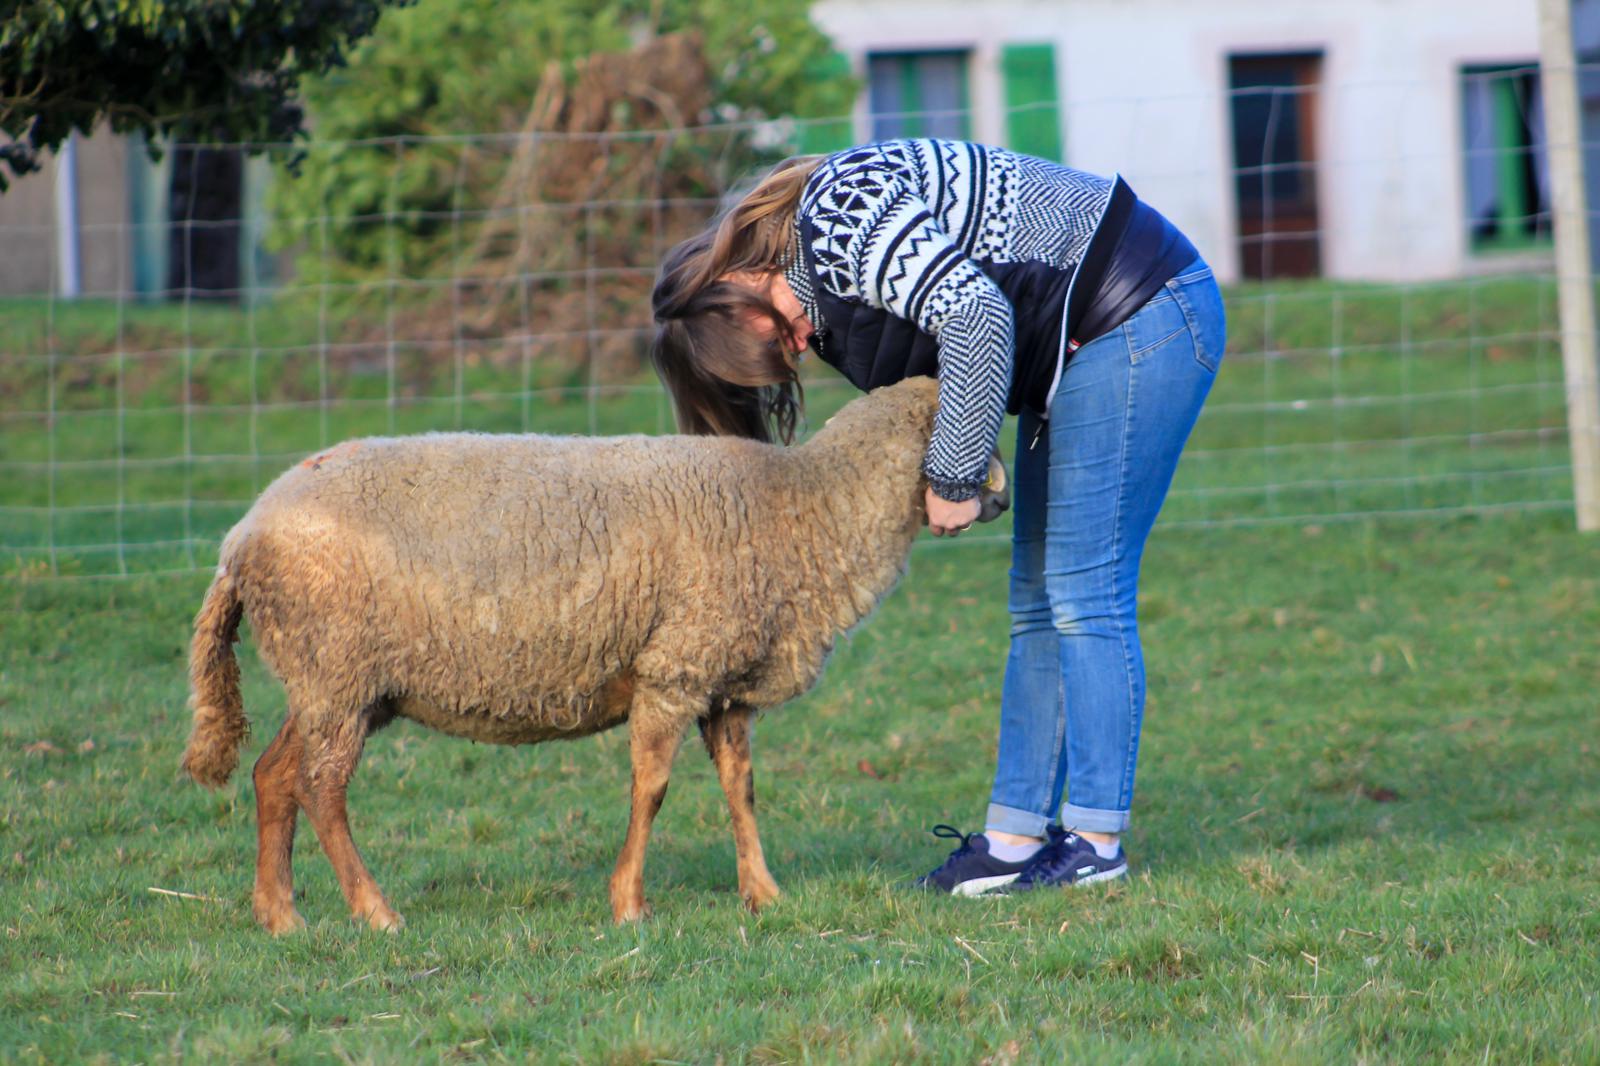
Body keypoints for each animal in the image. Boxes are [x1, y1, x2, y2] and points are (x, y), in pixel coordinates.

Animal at [180, 376, 1007, 933]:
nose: (1000, 498)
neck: (802, 505)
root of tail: (240, 539)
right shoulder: (674, 669)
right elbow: (653, 789)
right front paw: (630, 903)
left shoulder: (724, 683)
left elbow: (741, 789)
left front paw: (763, 894)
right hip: (338, 669)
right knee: (321, 788)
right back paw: (375, 912)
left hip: (334, 680)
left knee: (273, 775)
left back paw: (280, 915)